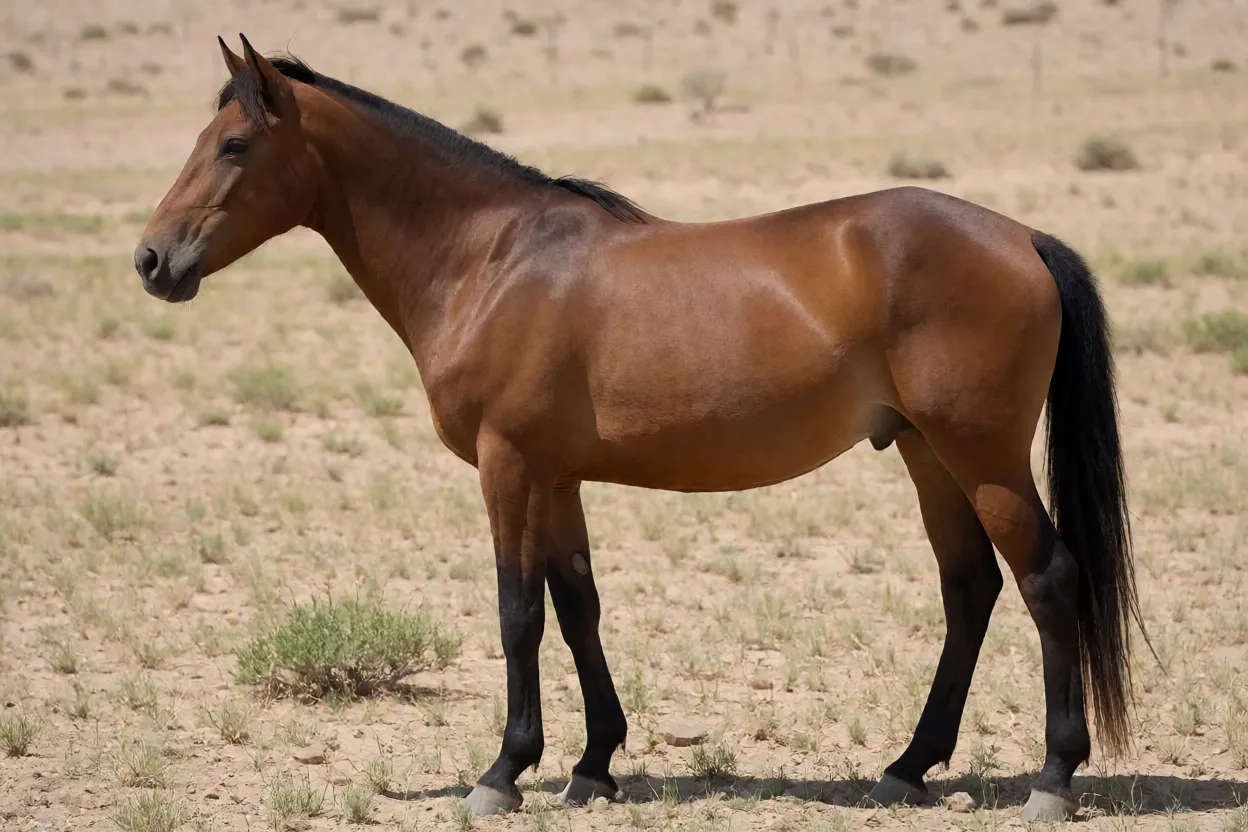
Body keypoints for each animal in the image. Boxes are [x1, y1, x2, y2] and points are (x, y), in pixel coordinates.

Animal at [135, 35, 1149, 822]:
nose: (151, 260)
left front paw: (503, 772)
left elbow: (516, 613)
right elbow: (577, 606)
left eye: (233, 144)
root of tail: (1021, 237)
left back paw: (1053, 777)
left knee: (1049, 579)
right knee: (970, 588)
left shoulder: (508, 467)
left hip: (981, 457)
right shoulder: (557, 477)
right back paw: (905, 770)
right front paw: (592, 766)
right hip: (927, 454)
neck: (491, 260)